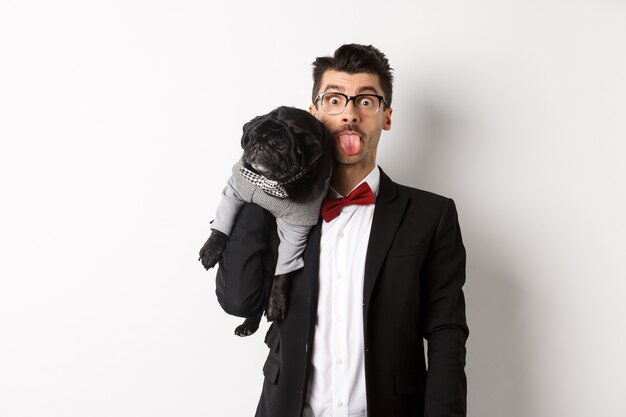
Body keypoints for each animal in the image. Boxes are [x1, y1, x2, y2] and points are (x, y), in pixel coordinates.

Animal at [197, 106, 332, 334]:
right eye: (252, 137)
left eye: (279, 144)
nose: (259, 145)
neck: (273, 185)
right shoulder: (236, 188)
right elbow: (221, 226)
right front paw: (210, 250)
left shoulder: (296, 229)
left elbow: (283, 274)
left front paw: (276, 303)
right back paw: (248, 324)